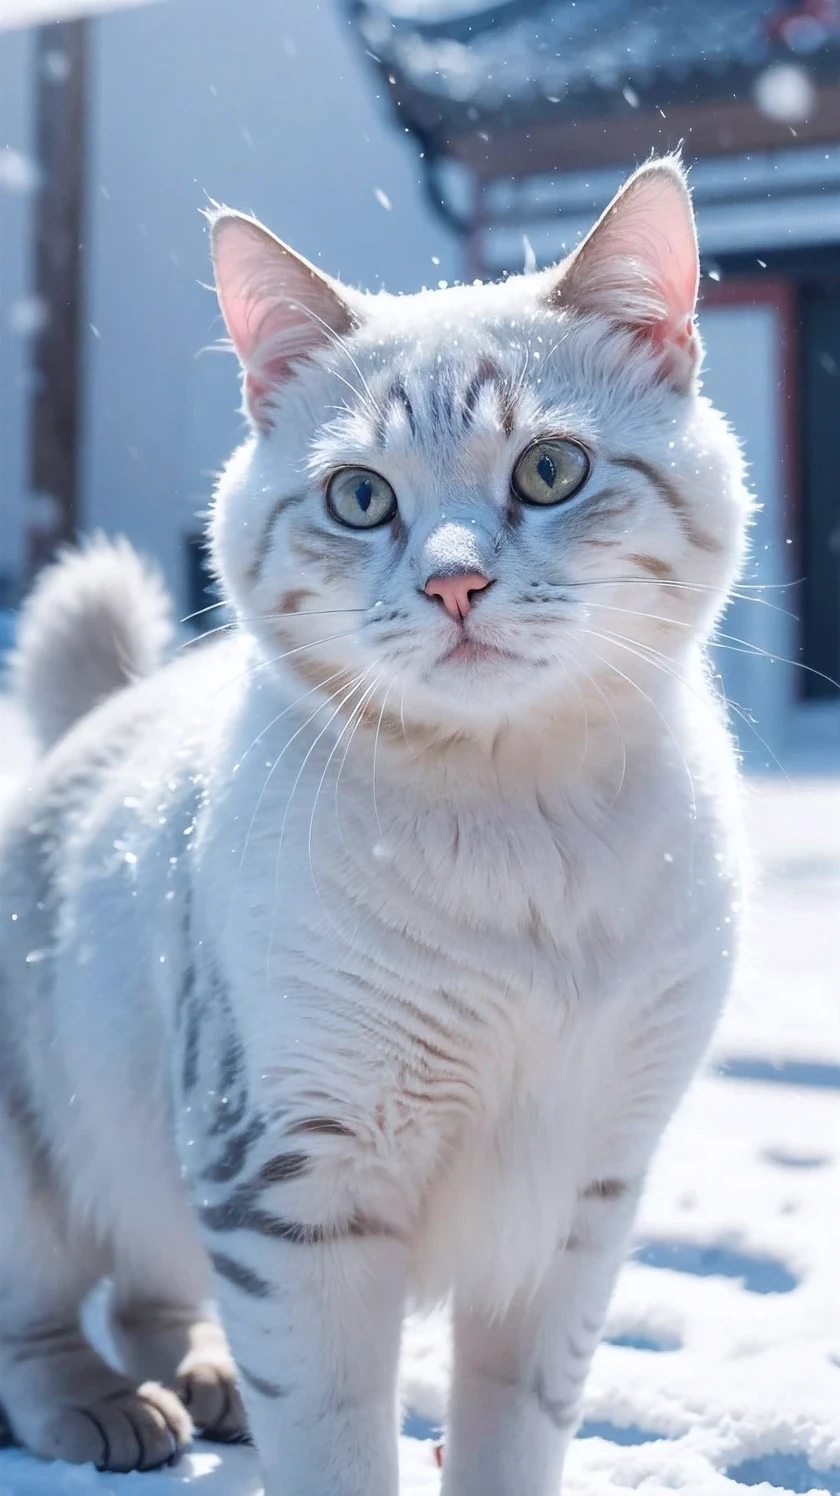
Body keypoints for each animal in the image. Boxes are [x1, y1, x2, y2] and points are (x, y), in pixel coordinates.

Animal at [0, 154, 745, 1496]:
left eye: (550, 470)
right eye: (360, 497)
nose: (454, 581)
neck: (521, 827)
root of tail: (96, 716)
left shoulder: (585, 1190)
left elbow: (516, 1423)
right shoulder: (297, 1176)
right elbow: (336, 1435)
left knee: (148, 1290)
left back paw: (204, 1378)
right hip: (42, 1160)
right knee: (38, 1323)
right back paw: (108, 1408)